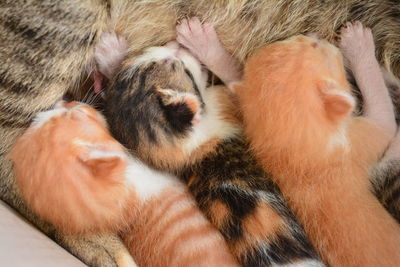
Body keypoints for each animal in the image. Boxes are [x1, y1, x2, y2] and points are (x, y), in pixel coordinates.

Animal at [97, 31, 324, 266]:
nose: (175, 44)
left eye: (148, 52)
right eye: (182, 67)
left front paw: (109, 54)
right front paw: (202, 41)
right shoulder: (232, 108)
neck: (193, 148)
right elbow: (239, 81)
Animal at [233, 23, 400, 267]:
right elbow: (385, 118)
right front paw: (358, 44)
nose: (314, 34)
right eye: (314, 45)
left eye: (291, 40)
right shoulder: (356, 140)